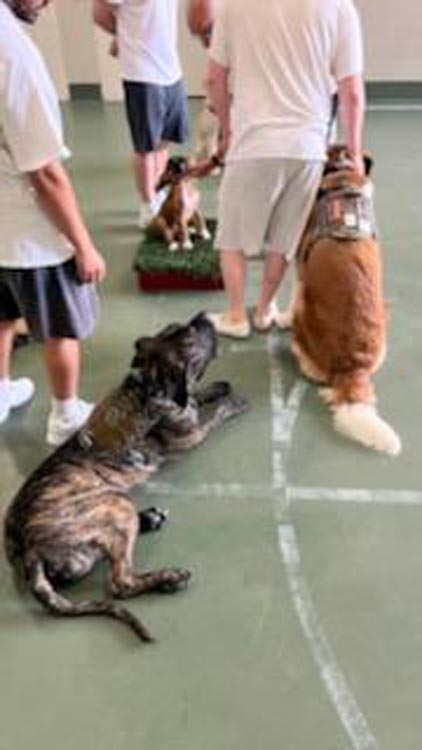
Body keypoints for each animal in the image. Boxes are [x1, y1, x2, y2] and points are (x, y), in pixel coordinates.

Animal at [4, 313, 248, 641]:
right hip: (115, 504)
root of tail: (29, 554)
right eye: (189, 336)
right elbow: (216, 416)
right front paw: (233, 403)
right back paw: (169, 577)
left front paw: (217, 388)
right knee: (120, 582)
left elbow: (197, 395)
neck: (150, 384)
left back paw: (150, 518)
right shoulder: (193, 435)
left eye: (176, 327)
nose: (204, 315)